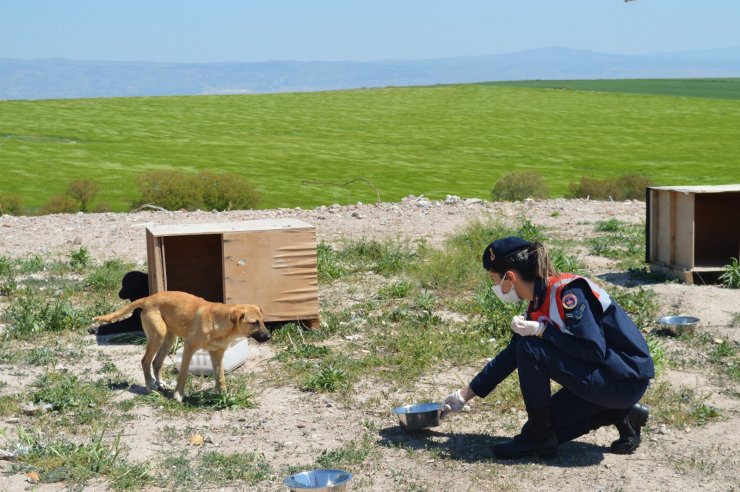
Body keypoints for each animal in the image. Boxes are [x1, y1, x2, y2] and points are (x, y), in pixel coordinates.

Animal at [92, 290, 272, 402]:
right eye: (254, 323)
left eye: (263, 321)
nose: (269, 337)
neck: (219, 322)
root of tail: (148, 299)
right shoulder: (189, 347)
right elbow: (183, 374)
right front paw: (178, 395)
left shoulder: (217, 353)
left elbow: (220, 376)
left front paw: (224, 396)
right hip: (158, 336)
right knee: (145, 361)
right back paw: (150, 385)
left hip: (169, 338)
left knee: (156, 362)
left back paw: (160, 383)